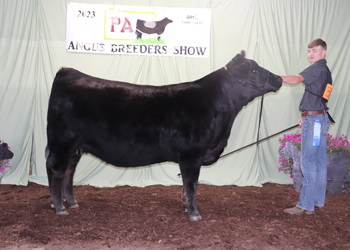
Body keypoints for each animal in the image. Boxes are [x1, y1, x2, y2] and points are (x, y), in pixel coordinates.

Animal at [45, 50, 282, 221]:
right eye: (253, 70)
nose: (279, 78)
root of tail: (67, 72)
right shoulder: (191, 154)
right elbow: (191, 184)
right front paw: (194, 213)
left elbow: (187, 185)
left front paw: (186, 206)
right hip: (63, 142)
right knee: (56, 170)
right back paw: (60, 208)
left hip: (76, 147)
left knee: (68, 172)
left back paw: (71, 203)